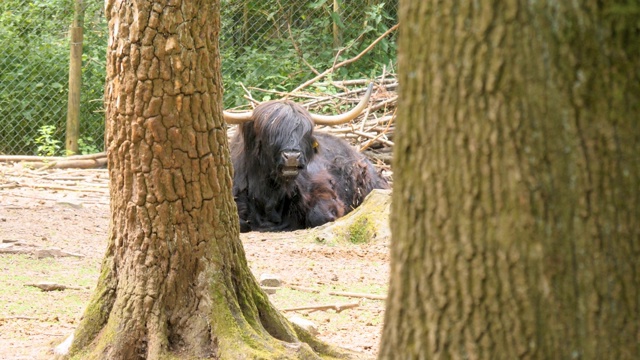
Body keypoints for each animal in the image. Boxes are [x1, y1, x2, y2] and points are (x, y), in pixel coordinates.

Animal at [226, 83, 390, 232]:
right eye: (269, 133)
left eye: (305, 133)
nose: (292, 156)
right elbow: (241, 222)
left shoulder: (323, 190)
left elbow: (319, 216)